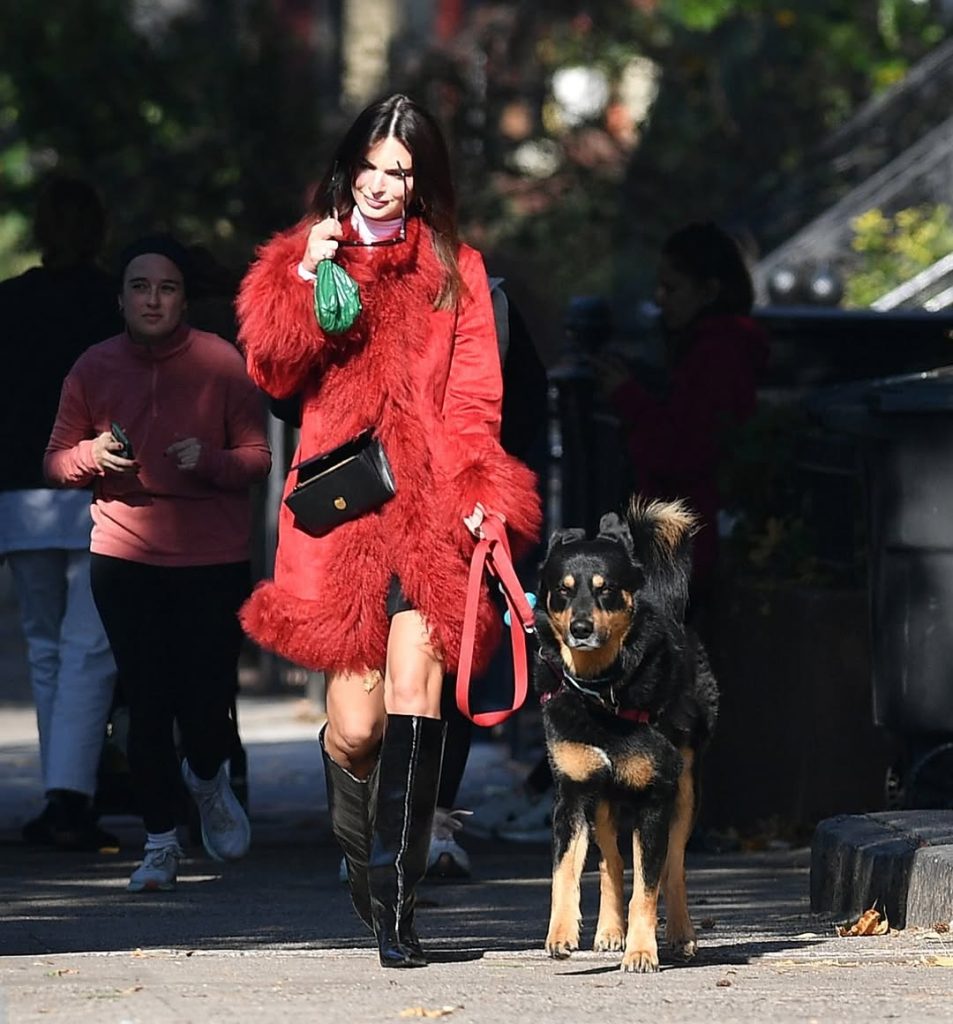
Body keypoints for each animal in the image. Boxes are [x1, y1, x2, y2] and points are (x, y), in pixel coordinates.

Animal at [532, 499, 720, 970]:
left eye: (606, 589)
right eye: (562, 590)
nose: (580, 628)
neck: (600, 692)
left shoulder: (655, 799)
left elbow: (649, 886)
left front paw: (641, 950)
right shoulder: (572, 794)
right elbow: (565, 871)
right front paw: (561, 933)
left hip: (685, 789)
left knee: (674, 866)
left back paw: (680, 934)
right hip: (603, 800)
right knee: (612, 863)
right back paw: (610, 930)